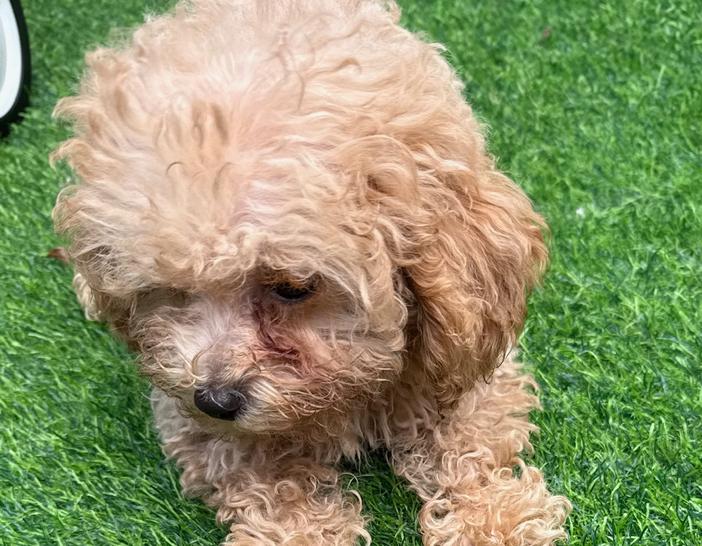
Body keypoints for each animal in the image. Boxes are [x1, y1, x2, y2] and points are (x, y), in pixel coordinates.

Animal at [52, 1, 570, 544]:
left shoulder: (465, 353)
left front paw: (493, 523)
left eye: (293, 287)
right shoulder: (195, 425)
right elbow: (269, 485)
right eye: (169, 287)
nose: (216, 400)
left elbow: (470, 449)